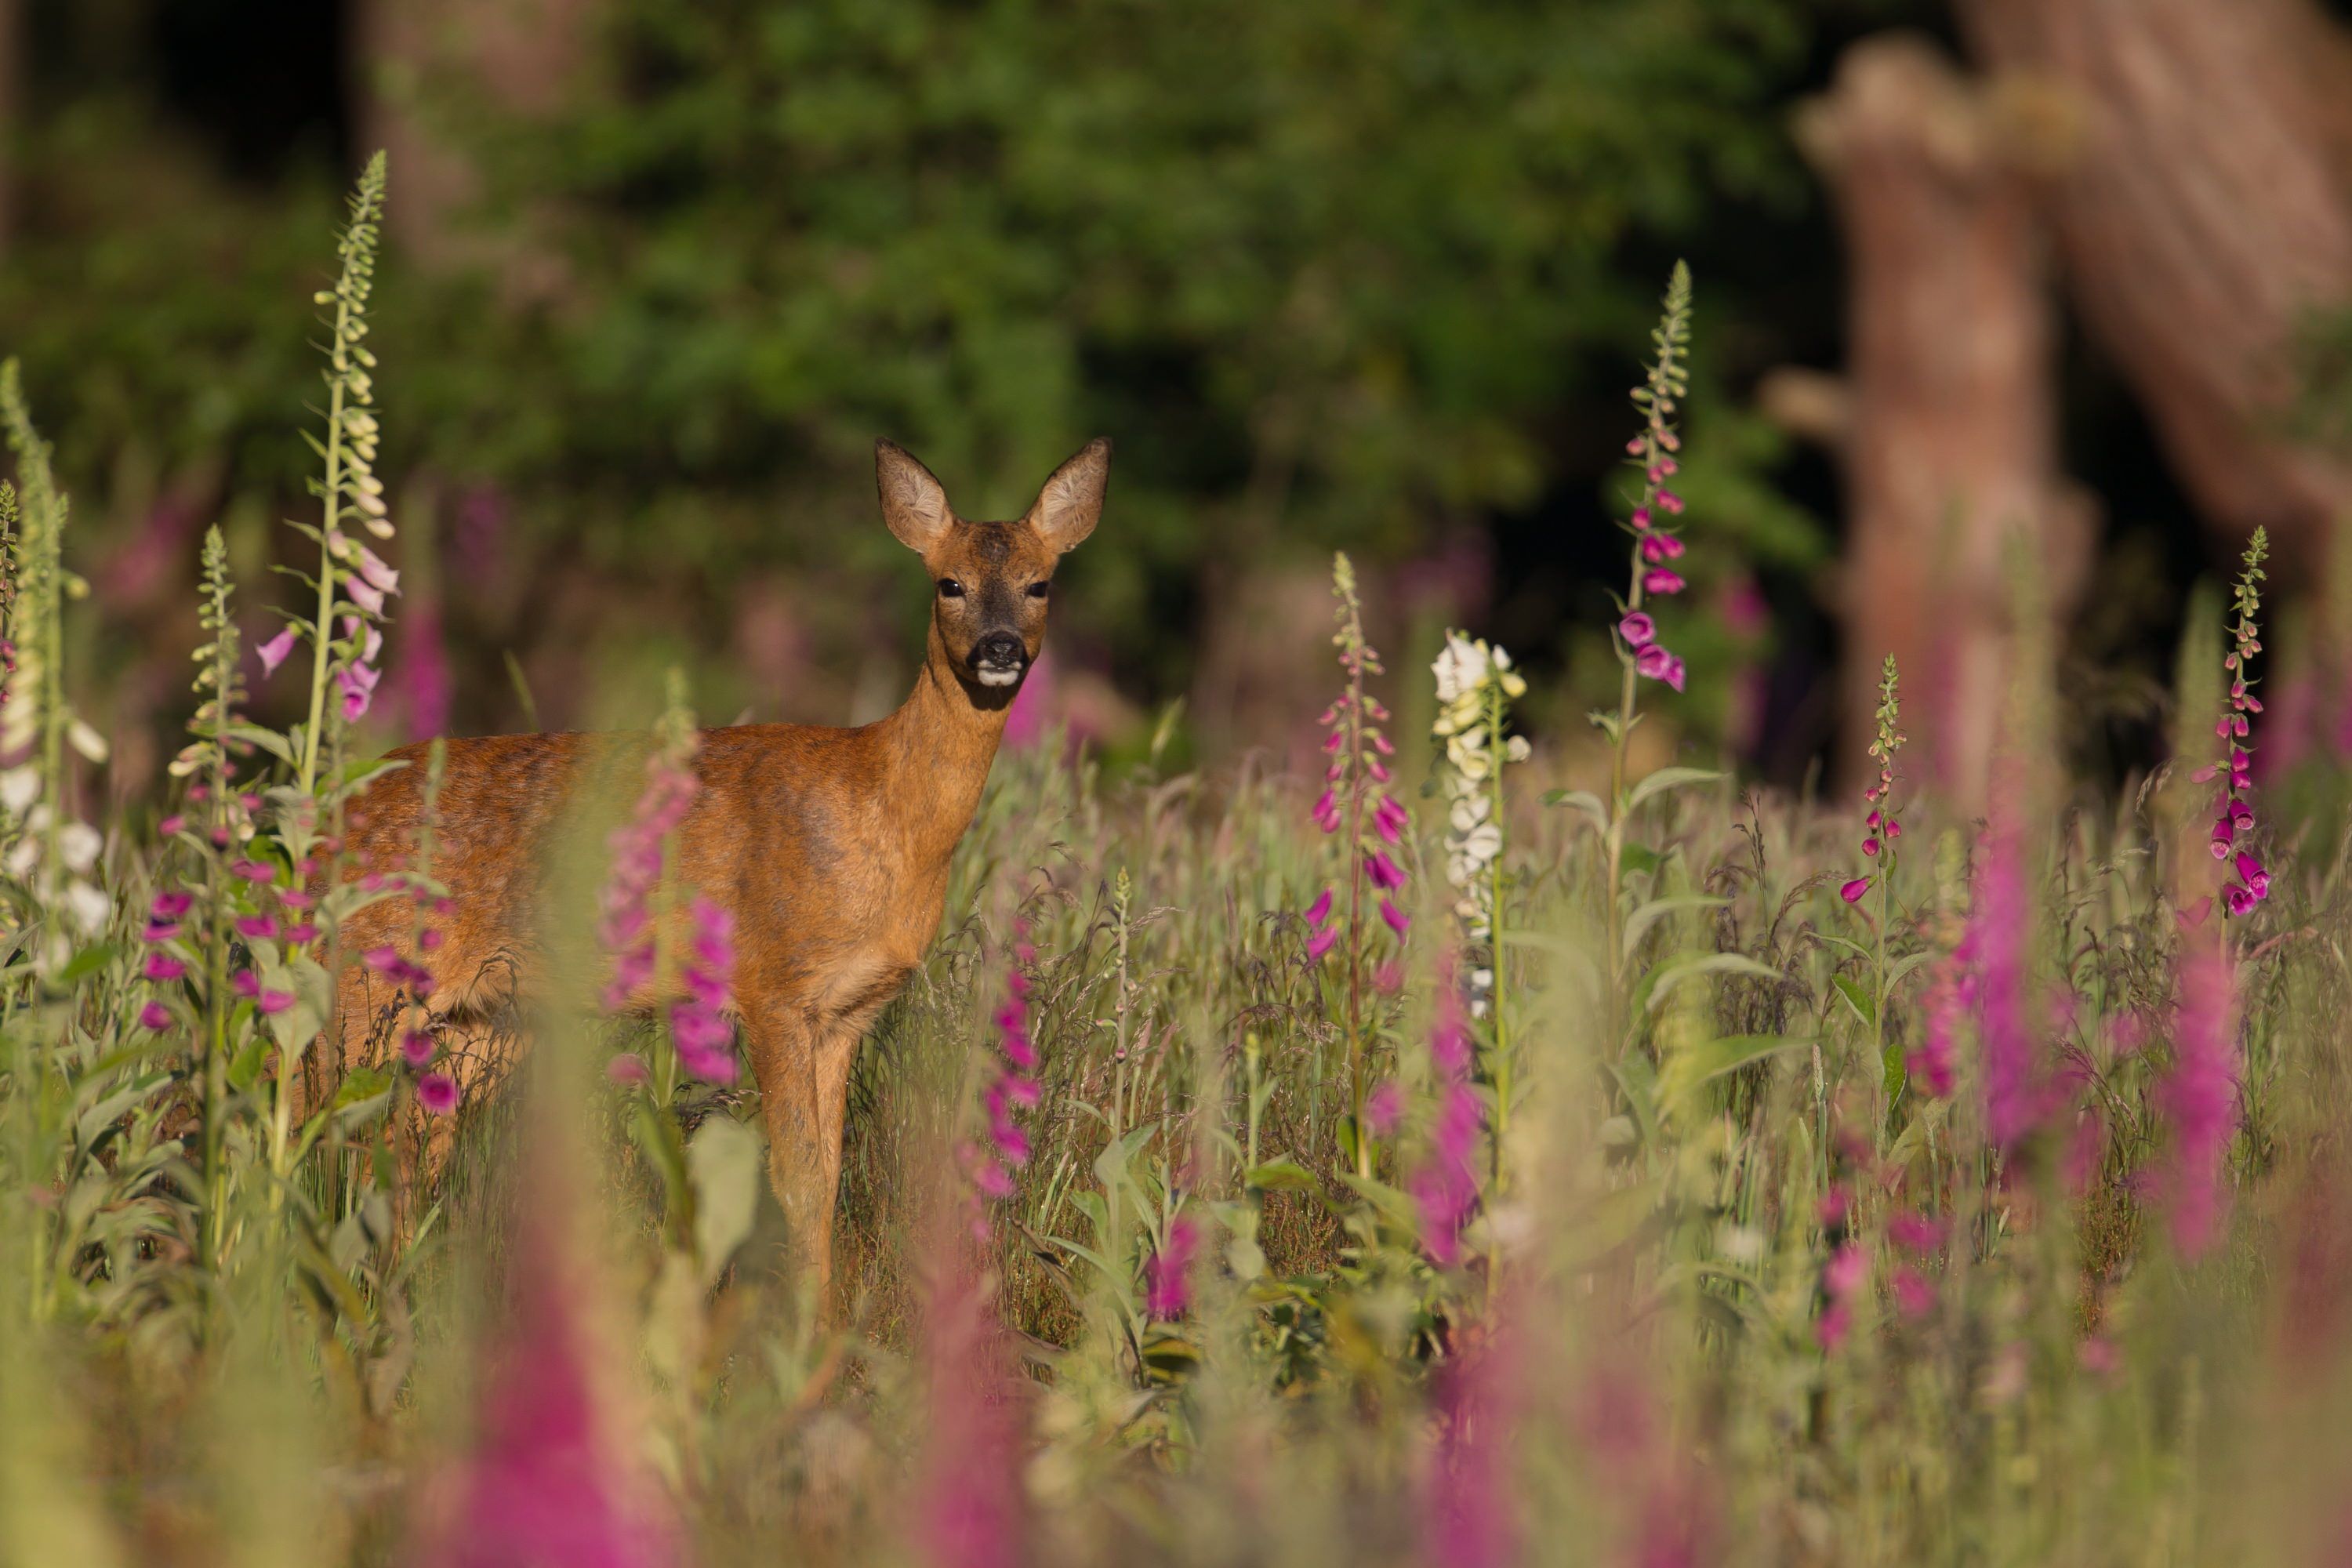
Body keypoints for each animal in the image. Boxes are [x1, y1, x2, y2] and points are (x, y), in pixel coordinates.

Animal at [328, 437, 1110, 1296]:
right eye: (950, 583)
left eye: (1040, 583)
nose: (1001, 648)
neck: (885, 811)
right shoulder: (772, 987)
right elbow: (793, 1176)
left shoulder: (846, 1011)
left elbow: (825, 1179)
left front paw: (821, 1318)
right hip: (357, 987)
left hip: (479, 1026)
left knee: (404, 1155)